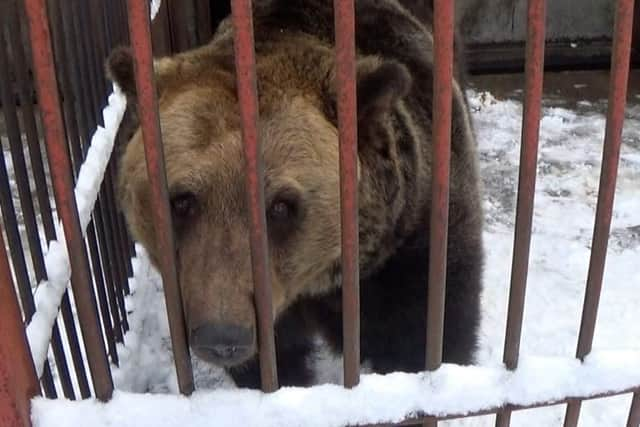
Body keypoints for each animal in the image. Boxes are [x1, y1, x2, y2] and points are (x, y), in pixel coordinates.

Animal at [107, 0, 482, 390]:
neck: (317, 283)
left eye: (281, 206)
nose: (222, 336)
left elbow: (422, 335)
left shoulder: (411, 241)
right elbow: (274, 365)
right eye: (181, 201)